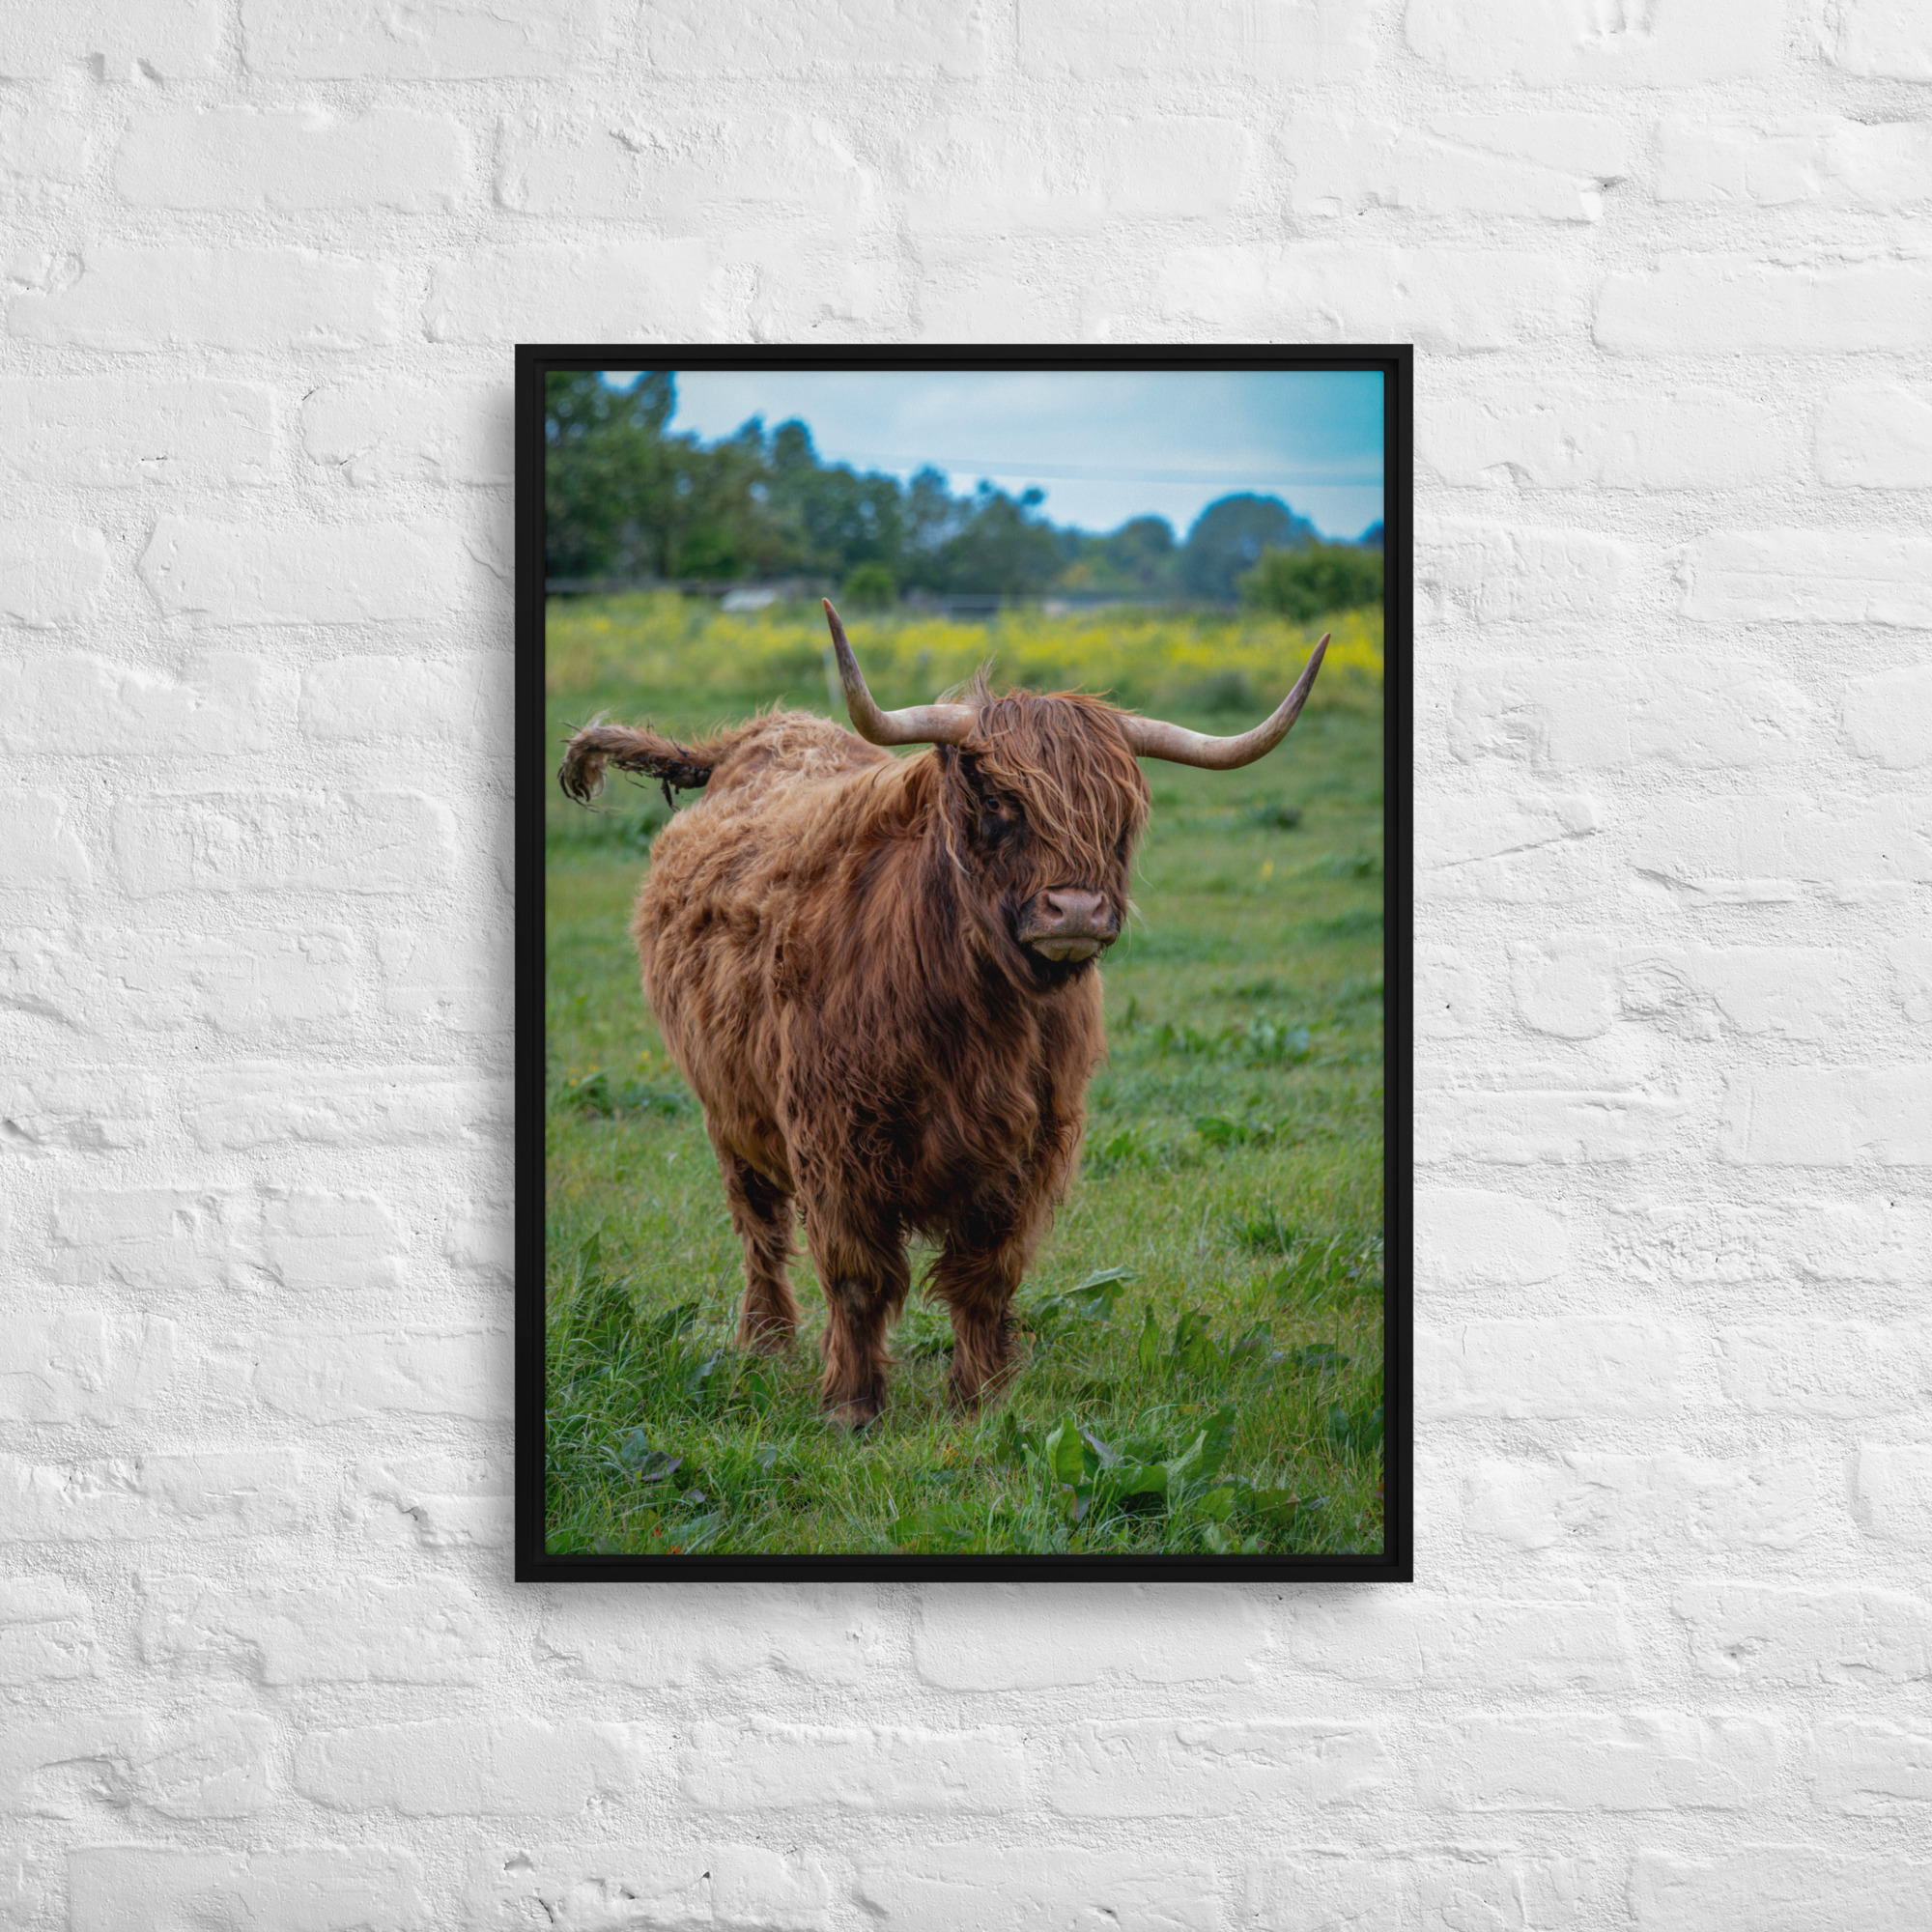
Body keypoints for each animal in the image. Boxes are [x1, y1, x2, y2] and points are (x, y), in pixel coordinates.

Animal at [559, 600, 1328, 1430]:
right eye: (997, 802)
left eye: (1120, 813)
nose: (1077, 910)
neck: (973, 1020)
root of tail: (762, 731)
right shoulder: (833, 1138)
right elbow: (858, 1277)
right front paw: (852, 1407)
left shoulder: (1030, 1148)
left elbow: (984, 1277)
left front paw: (981, 1398)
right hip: (726, 1103)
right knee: (759, 1227)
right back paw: (764, 1342)